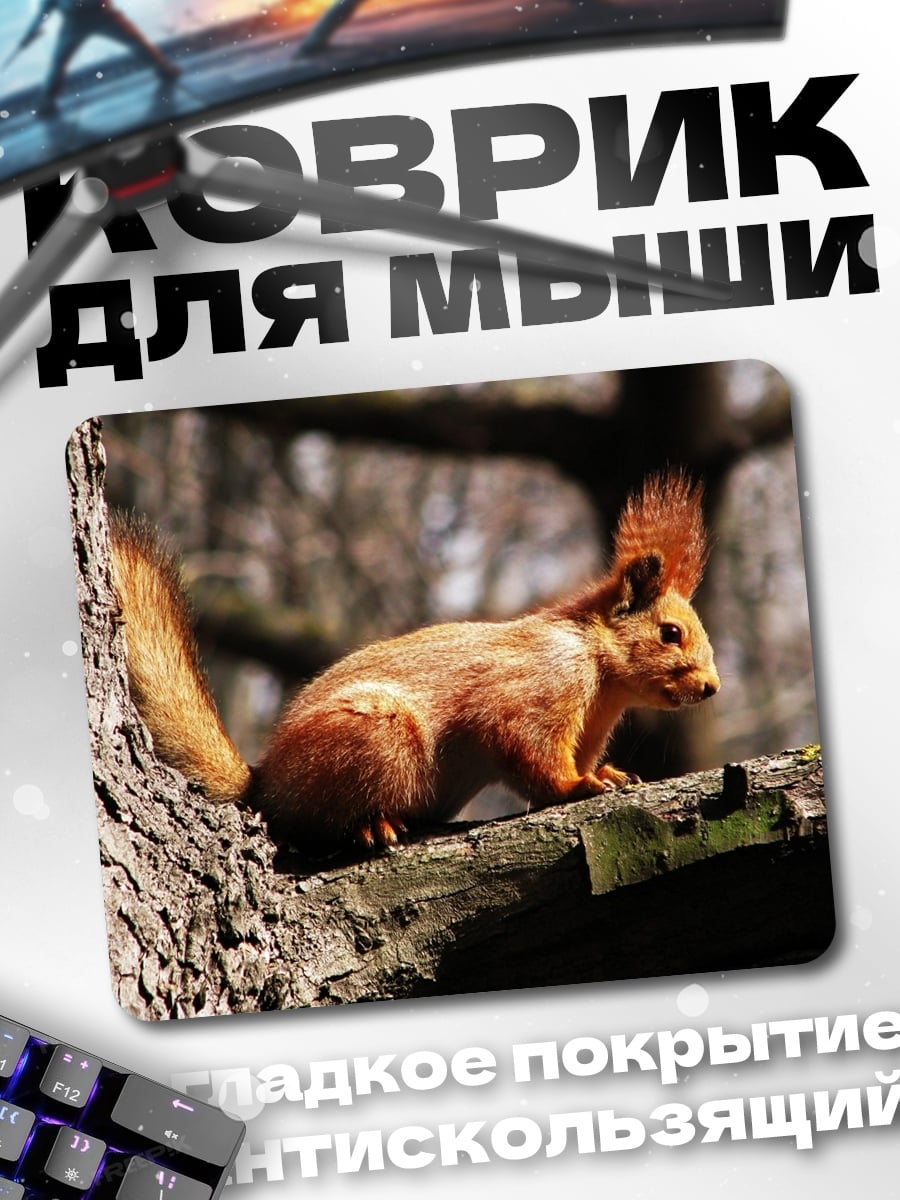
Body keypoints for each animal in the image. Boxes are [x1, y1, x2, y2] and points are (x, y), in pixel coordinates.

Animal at [108, 469, 720, 853]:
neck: (599, 671)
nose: (712, 688)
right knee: (309, 822)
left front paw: (607, 772)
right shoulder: (535, 691)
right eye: (670, 634)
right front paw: (579, 787)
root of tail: (266, 783)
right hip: (375, 737)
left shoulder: (590, 725)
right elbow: (530, 756)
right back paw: (370, 827)